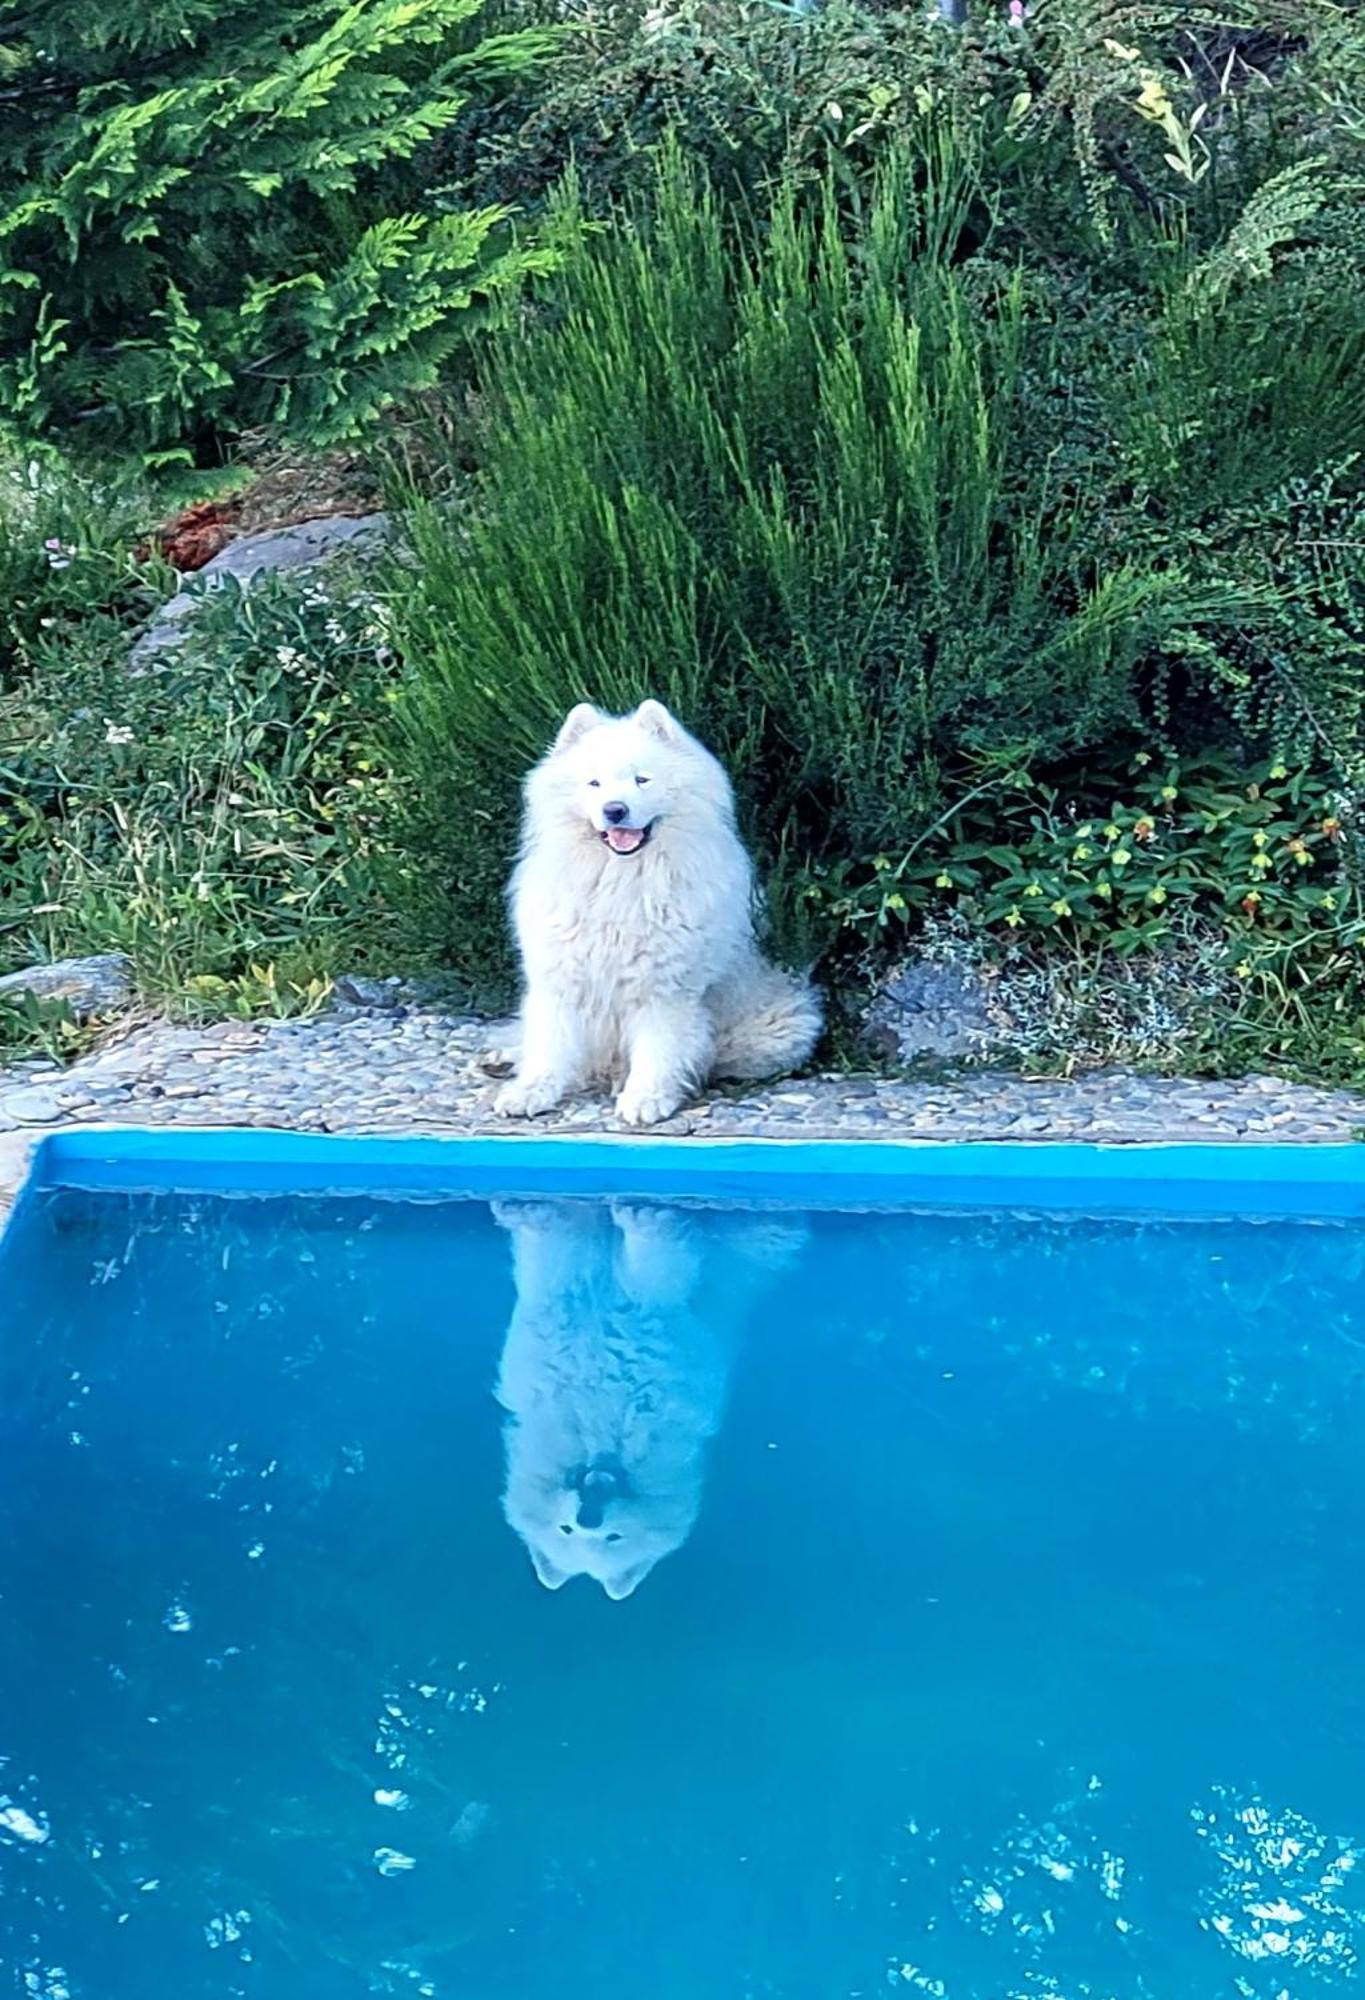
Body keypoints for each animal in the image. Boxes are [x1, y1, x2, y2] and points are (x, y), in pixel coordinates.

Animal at [492, 700, 820, 1128]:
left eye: (641, 780)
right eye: (594, 784)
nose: (615, 810)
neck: (619, 882)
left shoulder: (664, 991)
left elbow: (659, 1051)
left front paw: (645, 1100)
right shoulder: (561, 980)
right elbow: (550, 1047)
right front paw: (529, 1092)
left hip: (782, 1027)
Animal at [492, 1192, 804, 1600]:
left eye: (614, 1537)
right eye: (565, 1530)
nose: (588, 1516)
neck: (598, 1421)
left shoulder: (667, 1344)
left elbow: (655, 1277)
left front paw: (645, 1220)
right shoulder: (549, 1337)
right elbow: (553, 1259)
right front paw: (529, 1214)